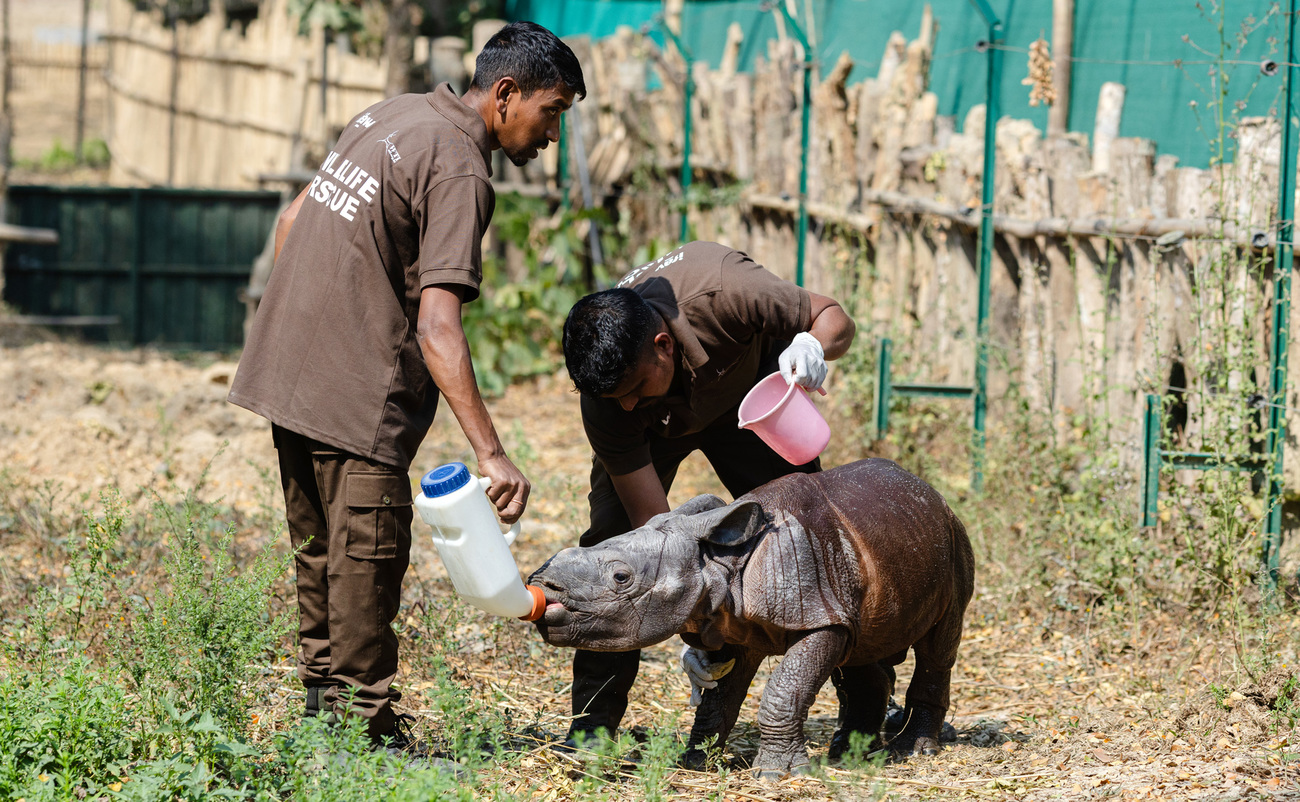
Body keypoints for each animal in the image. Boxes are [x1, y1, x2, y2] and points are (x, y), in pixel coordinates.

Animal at [528, 458, 974, 778]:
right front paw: (696, 762)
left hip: (952, 539)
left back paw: (912, 750)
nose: (543, 586)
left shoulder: (817, 614)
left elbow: (785, 689)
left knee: (937, 645)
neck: (719, 562)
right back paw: (850, 754)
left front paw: (778, 774)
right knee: (858, 648)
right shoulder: (733, 623)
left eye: (621, 578)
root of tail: (933, 493)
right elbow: (719, 697)